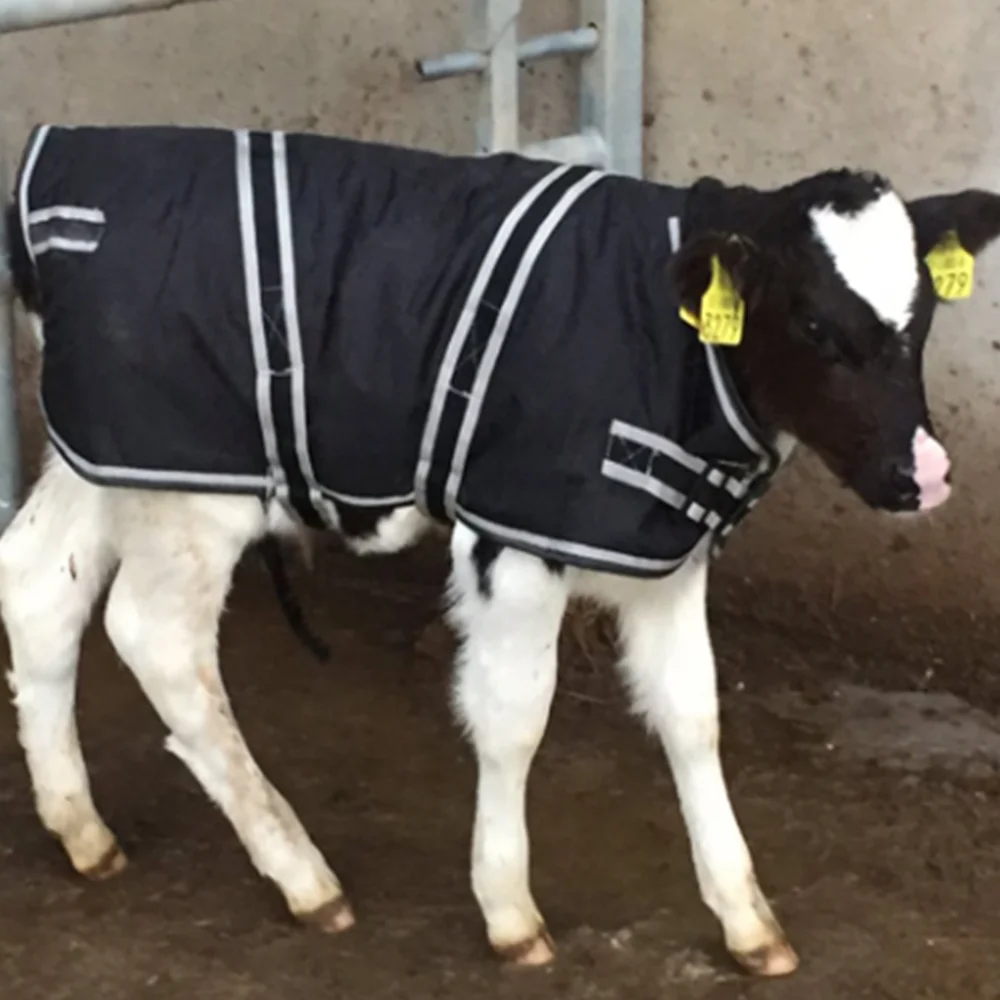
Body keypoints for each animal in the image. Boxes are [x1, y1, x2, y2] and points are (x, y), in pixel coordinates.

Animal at [1, 122, 998, 976]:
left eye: (921, 321)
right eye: (815, 325)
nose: (923, 474)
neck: (669, 343)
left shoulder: (665, 550)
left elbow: (693, 716)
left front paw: (748, 920)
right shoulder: (512, 536)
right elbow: (516, 717)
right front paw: (510, 911)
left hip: (109, 452)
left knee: (38, 583)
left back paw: (82, 831)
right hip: (193, 495)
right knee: (157, 640)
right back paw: (303, 875)